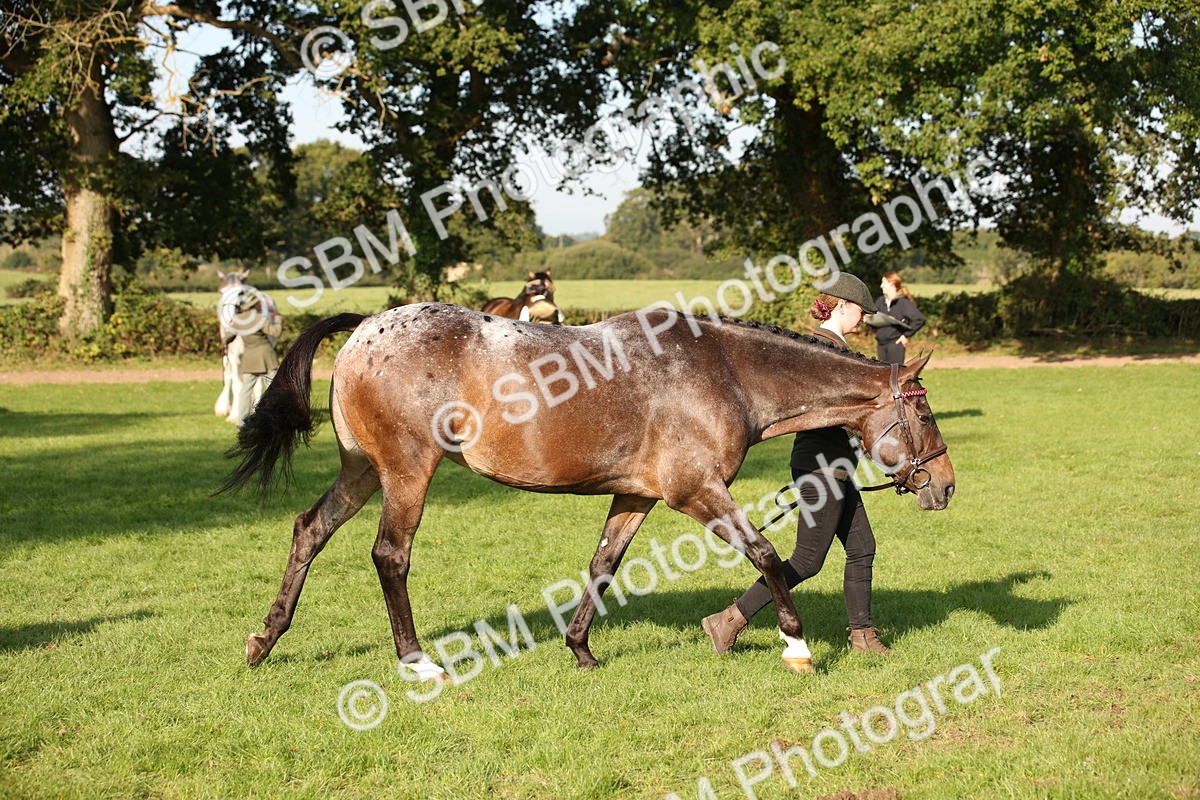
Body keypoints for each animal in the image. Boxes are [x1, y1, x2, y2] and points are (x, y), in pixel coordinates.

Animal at [220, 303, 954, 680]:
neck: (724, 371)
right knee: (390, 556)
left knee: (310, 530)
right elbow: (768, 557)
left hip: (362, 470)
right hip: (406, 472)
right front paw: (796, 648)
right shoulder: (696, 491)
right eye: (924, 414)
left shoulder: (637, 496)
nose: (944, 487)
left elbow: (603, 565)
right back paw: (417, 662)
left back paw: (264, 639)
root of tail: (366, 329)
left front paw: (579, 649)